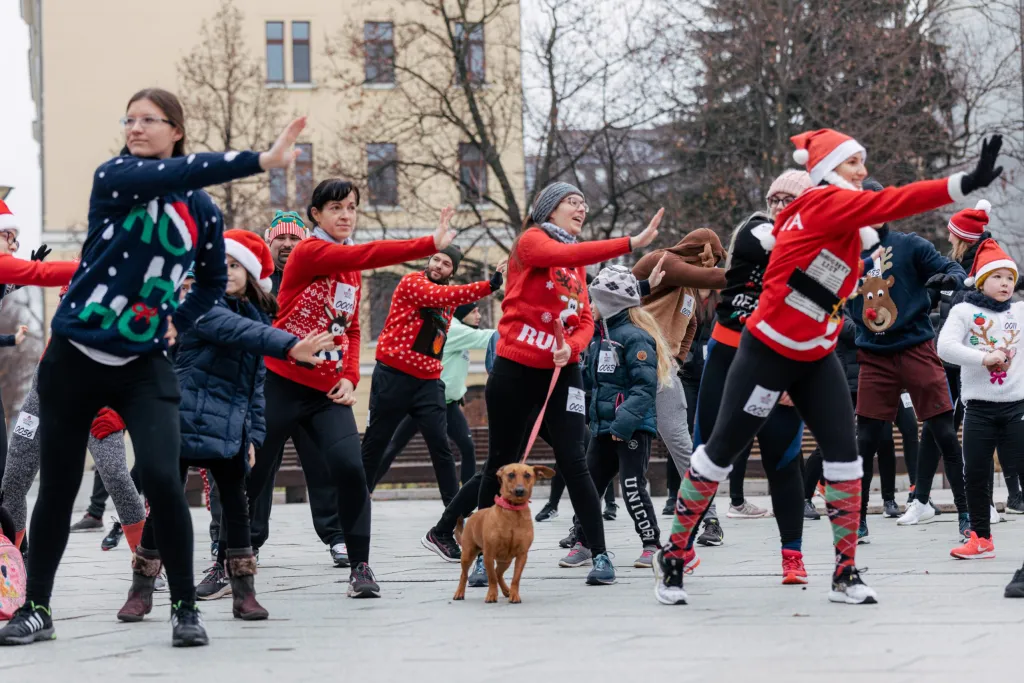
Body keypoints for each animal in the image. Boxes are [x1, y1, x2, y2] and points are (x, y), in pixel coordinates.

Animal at [454, 464, 557, 602]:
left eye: (527, 475)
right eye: (511, 475)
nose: (520, 490)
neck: (513, 511)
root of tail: (473, 516)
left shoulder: (522, 555)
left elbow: (515, 578)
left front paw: (514, 594)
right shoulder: (488, 555)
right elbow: (491, 578)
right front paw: (491, 595)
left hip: (505, 561)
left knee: (498, 573)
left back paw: (506, 590)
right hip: (467, 554)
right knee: (464, 575)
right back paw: (459, 592)